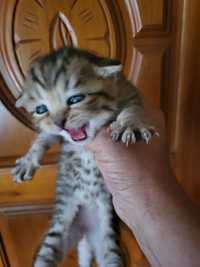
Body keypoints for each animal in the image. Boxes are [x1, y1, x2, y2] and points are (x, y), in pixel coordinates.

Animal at [11, 47, 157, 266]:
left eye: (75, 99)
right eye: (41, 109)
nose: (59, 123)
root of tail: (86, 232)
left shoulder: (130, 92)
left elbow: (133, 108)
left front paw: (130, 124)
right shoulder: (54, 133)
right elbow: (44, 136)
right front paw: (28, 161)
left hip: (108, 240)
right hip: (59, 229)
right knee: (47, 255)